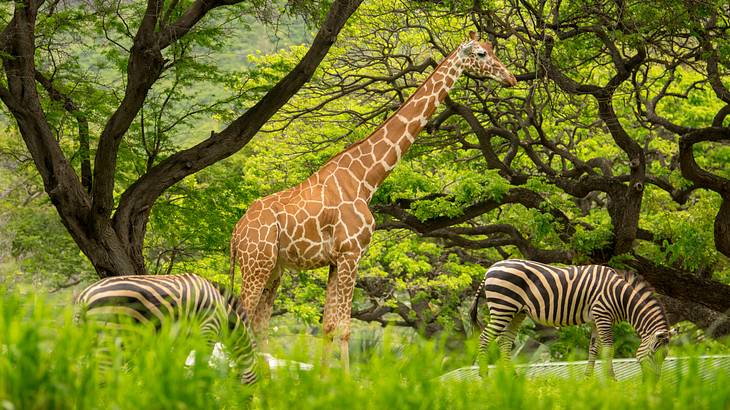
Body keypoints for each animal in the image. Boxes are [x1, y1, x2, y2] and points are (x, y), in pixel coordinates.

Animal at [76, 272, 258, 384]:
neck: (225, 314)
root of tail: (84, 296)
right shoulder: (208, 331)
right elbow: (202, 370)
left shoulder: (183, 341)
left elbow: (177, 367)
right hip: (110, 338)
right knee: (100, 378)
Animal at [230, 31, 516, 372]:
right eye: (482, 54)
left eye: (493, 49)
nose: (511, 78)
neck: (365, 179)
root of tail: (235, 233)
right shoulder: (351, 253)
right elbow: (344, 327)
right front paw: (344, 379)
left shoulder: (335, 260)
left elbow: (328, 326)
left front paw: (324, 379)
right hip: (256, 263)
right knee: (242, 318)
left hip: (274, 268)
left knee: (259, 322)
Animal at [470, 260, 668, 378]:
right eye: (655, 354)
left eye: (665, 356)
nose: (654, 383)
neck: (620, 295)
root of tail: (490, 268)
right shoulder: (603, 315)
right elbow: (608, 349)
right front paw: (611, 379)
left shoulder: (595, 319)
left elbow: (593, 349)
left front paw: (588, 378)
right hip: (503, 307)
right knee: (485, 337)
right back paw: (484, 374)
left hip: (516, 312)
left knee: (505, 341)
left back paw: (512, 376)